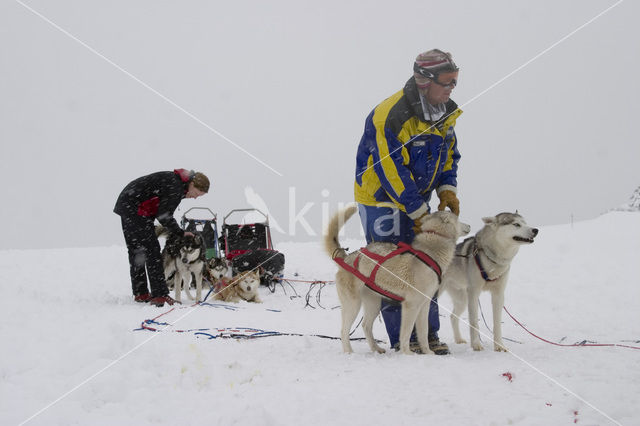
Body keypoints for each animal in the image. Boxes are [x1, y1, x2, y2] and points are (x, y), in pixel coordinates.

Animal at [324, 205, 470, 354]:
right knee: (344, 331)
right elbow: (406, 333)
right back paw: (349, 351)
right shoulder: (410, 306)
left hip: (373, 305)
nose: (470, 225)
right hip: (353, 305)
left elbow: (423, 333)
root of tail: (346, 257)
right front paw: (408, 353)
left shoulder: (424, 305)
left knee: (365, 325)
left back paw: (376, 349)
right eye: (458, 219)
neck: (431, 253)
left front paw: (428, 352)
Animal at [440, 211, 540, 352]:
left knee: (453, 317)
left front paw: (499, 345)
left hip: (462, 299)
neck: (494, 260)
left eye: (525, 223)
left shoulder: (498, 294)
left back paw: (459, 339)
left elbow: (497, 323)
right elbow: (474, 321)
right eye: (516, 224)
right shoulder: (474, 293)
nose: (535, 230)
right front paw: (476, 344)